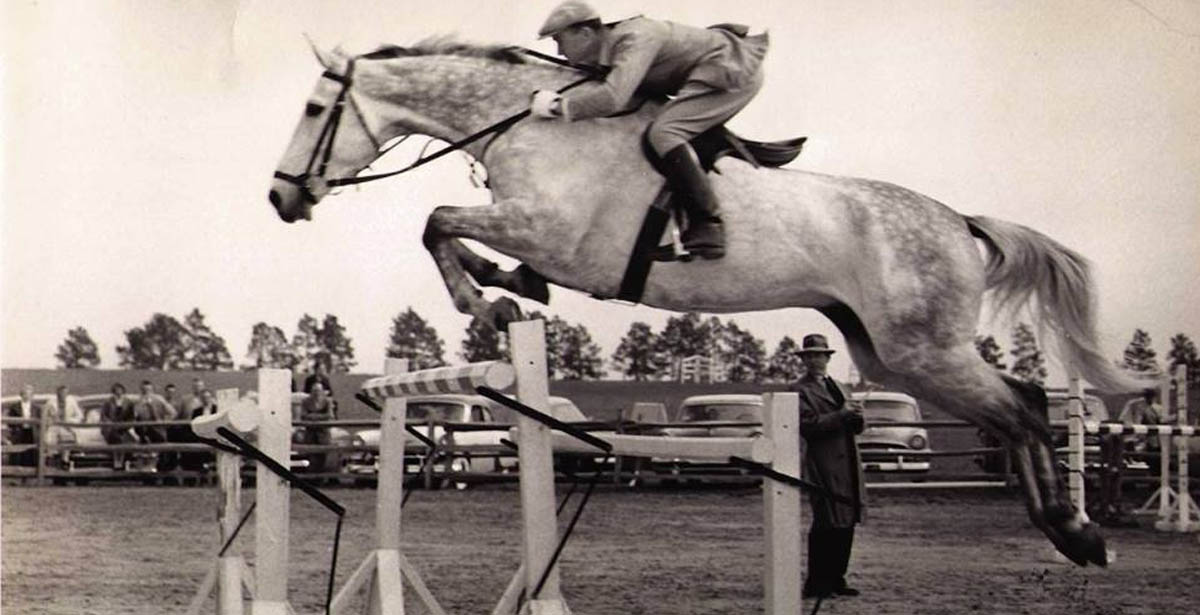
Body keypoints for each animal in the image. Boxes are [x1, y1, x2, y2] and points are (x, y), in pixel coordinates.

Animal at [267, 39, 1137, 566]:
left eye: (312, 111)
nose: (280, 197)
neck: (533, 125)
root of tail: (959, 221)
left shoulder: (550, 231)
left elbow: (439, 220)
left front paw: (489, 303)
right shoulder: (536, 232)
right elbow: (455, 231)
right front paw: (509, 293)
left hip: (925, 348)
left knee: (1022, 407)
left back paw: (1080, 531)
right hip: (891, 354)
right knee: (1016, 405)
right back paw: (1067, 529)